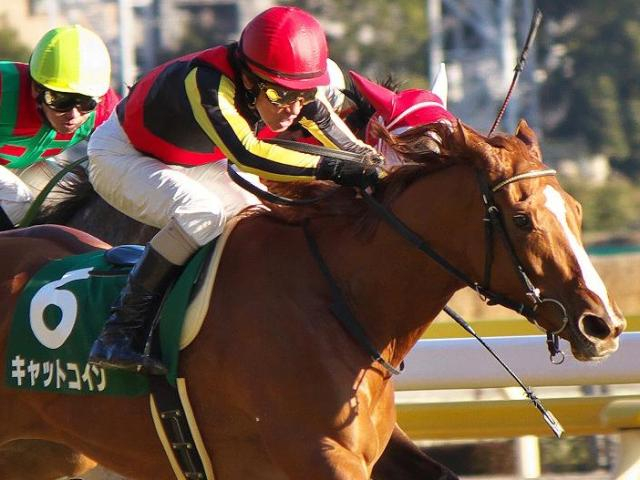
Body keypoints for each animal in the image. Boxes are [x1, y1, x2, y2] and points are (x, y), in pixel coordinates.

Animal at [0, 118, 625, 480]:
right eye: (522, 219)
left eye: (575, 211)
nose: (604, 325)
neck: (339, 301)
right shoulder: (315, 453)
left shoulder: (369, 449)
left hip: (42, 454)